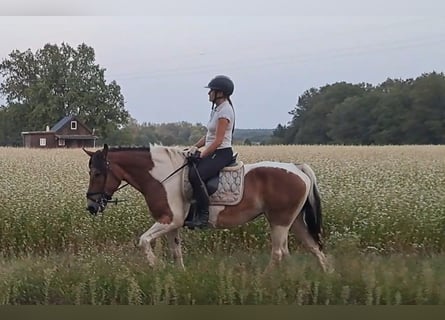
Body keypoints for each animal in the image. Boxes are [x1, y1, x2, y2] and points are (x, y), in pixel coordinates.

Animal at [82, 145, 330, 272]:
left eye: (97, 173)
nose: (91, 206)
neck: (161, 177)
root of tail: (296, 167)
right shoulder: (173, 224)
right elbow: (176, 251)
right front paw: (179, 276)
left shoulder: (168, 219)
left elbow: (143, 241)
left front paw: (156, 266)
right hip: (294, 221)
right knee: (312, 248)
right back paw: (325, 276)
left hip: (280, 221)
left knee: (279, 252)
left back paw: (267, 280)